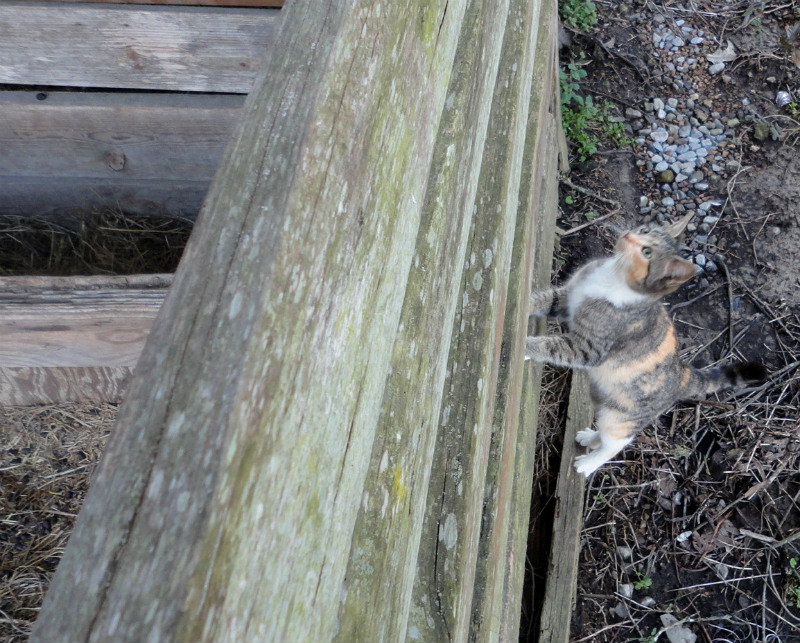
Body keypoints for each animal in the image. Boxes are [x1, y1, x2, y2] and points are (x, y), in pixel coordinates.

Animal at [528, 214, 764, 476]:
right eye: (645, 230)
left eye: (647, 252)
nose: (628, 235)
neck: (611, 277)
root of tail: (683, 373)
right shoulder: (566, 298)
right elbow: (544, 300)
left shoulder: (590, 348)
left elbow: (555, 347)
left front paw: (526, 347)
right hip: (605, 399)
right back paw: (590, 438)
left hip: (622, 417)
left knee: (615, 444)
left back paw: (588, 464)